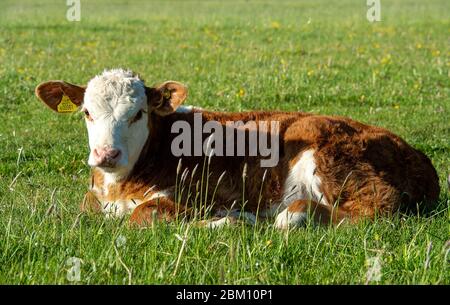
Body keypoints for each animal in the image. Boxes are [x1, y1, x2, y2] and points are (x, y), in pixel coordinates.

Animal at [36, 67, 440, 227]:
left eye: (138, 113)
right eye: (87, 112)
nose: (106, 154)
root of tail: (416, 154)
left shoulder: (194, 197)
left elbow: (142, 215)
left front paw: (226, 220)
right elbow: (85, 208)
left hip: (331, 158)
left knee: (376, 207)